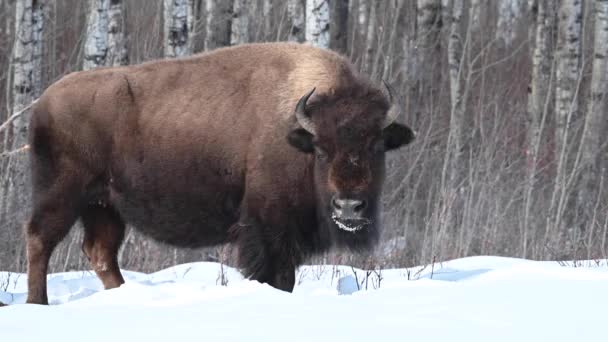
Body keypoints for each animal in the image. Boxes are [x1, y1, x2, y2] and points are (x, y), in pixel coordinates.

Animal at [23, 42, 414, 304]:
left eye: (377, 146)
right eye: (321, 149)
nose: (349, 207)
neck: (296, 131)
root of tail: (43, 102)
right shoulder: (268, 230)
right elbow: (276, 276)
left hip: (104, 206)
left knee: (101, 252)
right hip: (62, 194)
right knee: (40, 239)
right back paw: (37, 302)